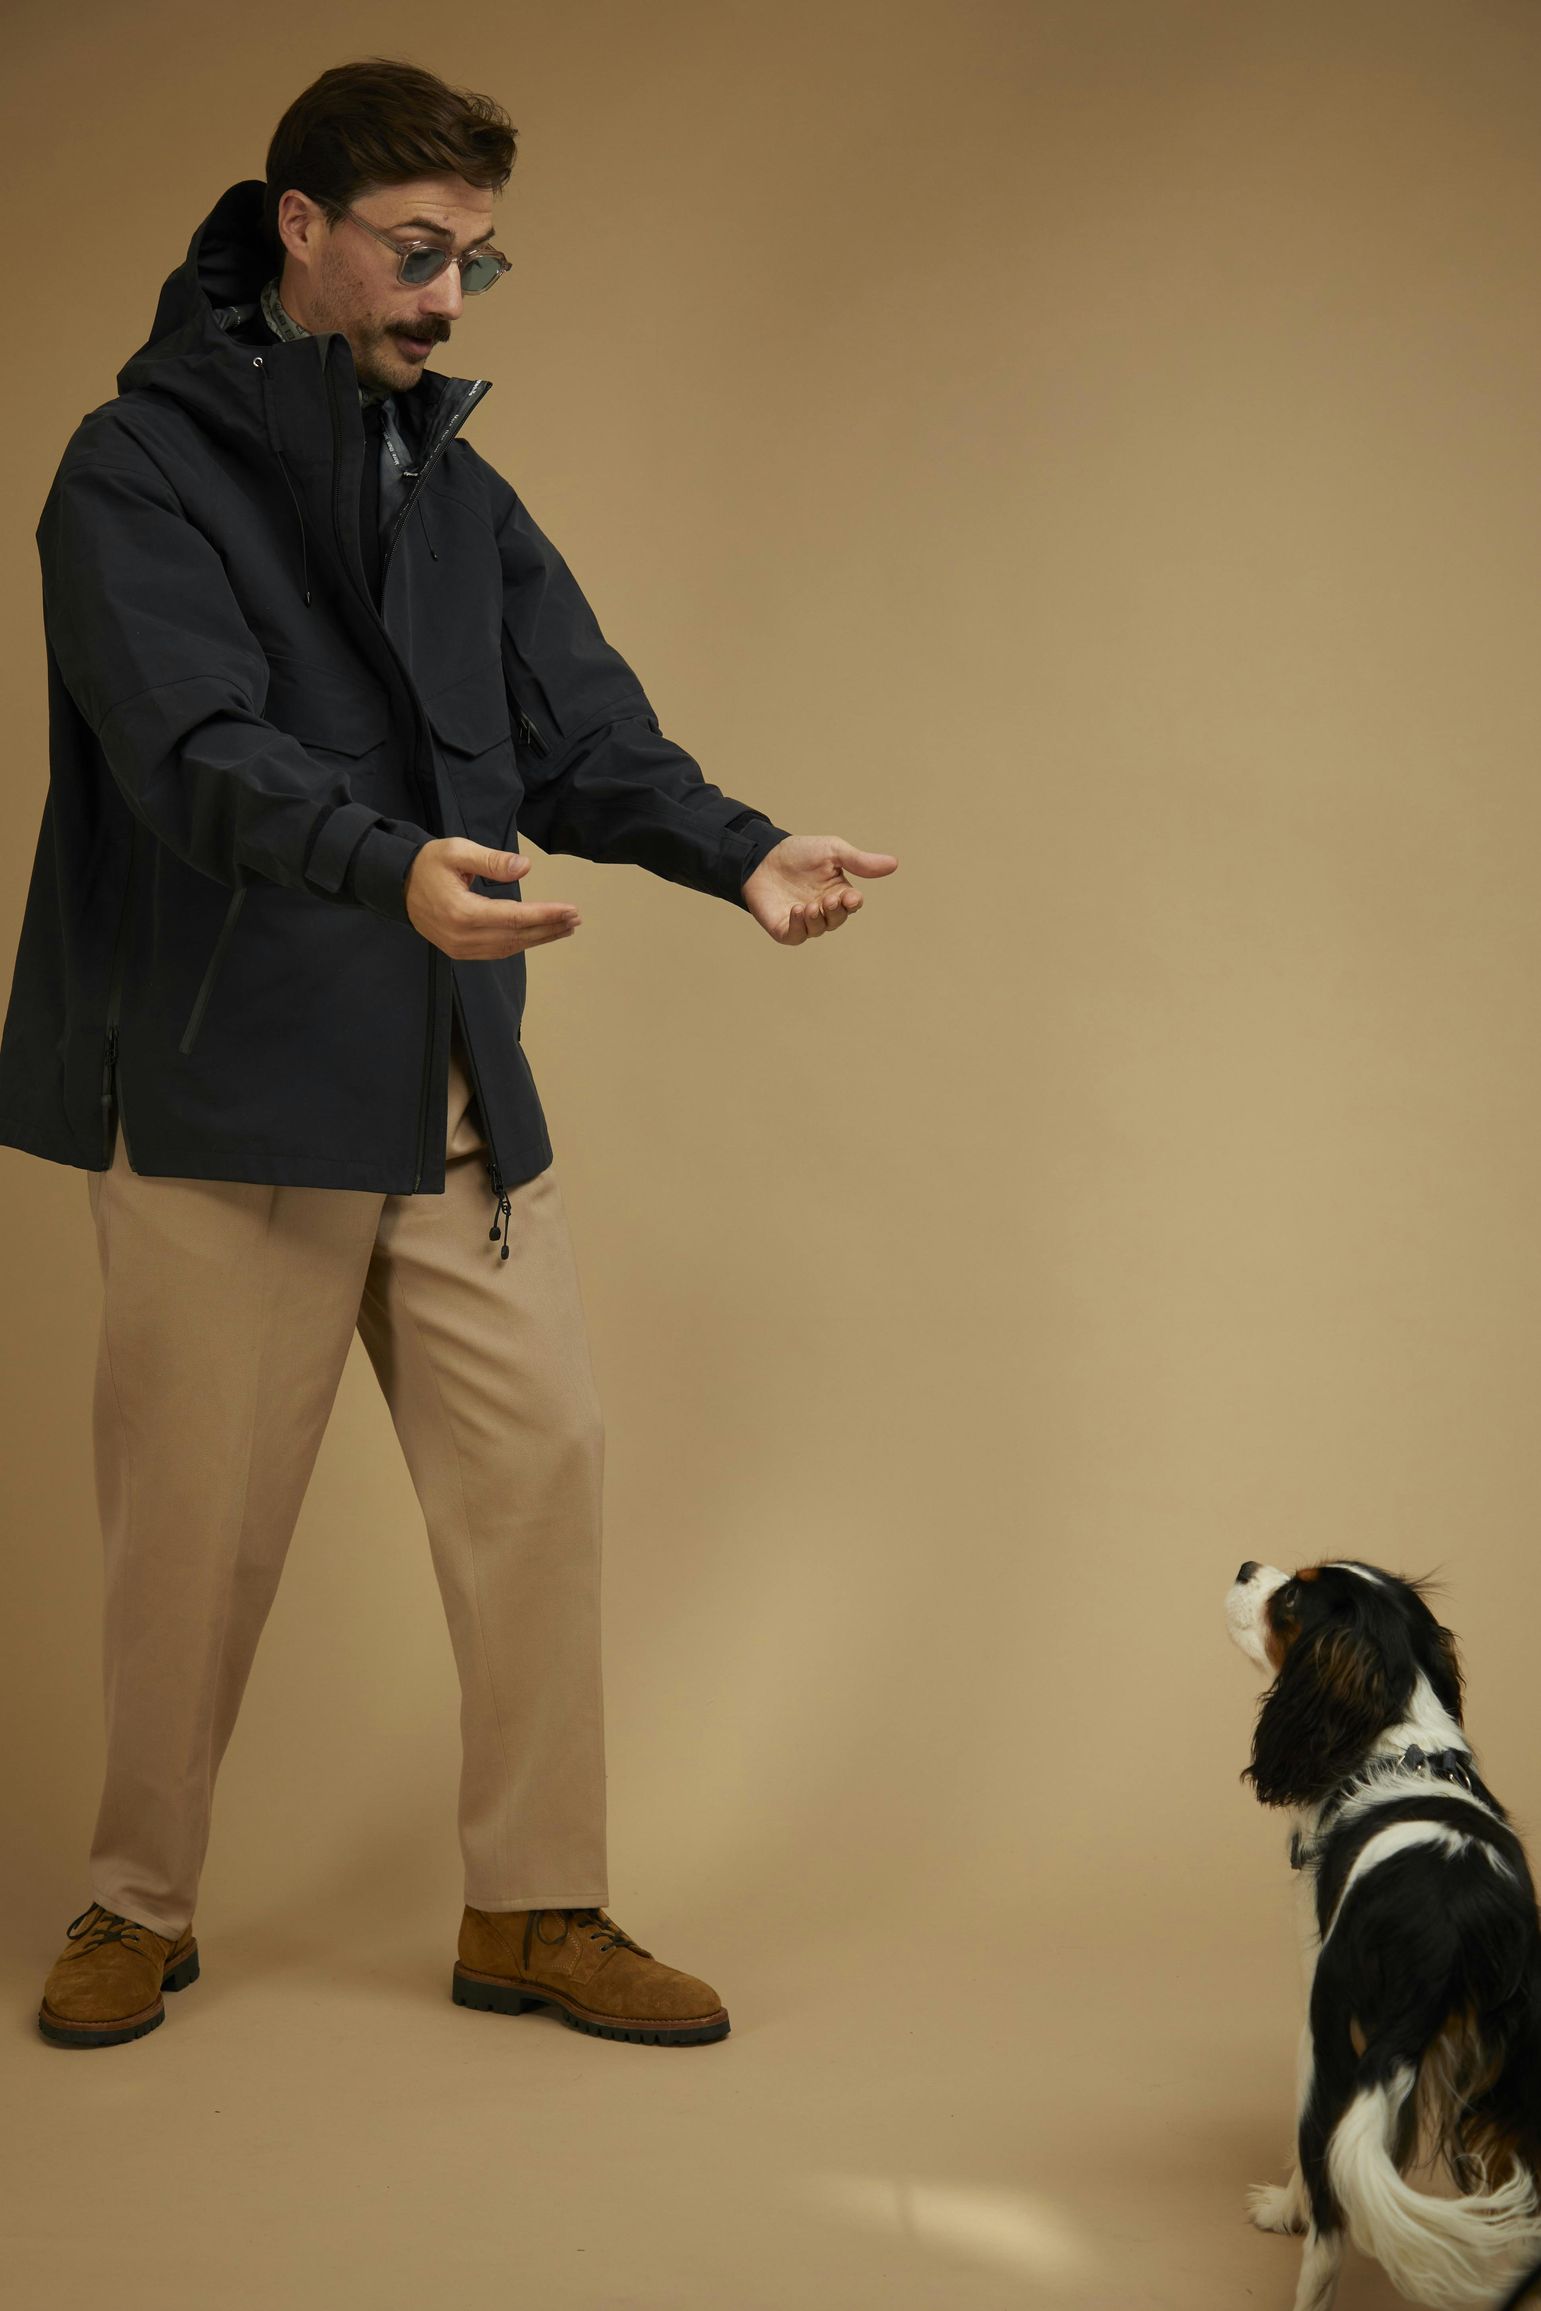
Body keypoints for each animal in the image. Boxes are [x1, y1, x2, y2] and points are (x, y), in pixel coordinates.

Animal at [1238, 1562, 1541, 2301]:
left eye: (1291, 1598)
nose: (1244, 1567)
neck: (1400, 1746)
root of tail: (1442, 1939)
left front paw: (1280, 2210)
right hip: (1511, 2084)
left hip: (1327, 2046)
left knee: (1327, 2232)